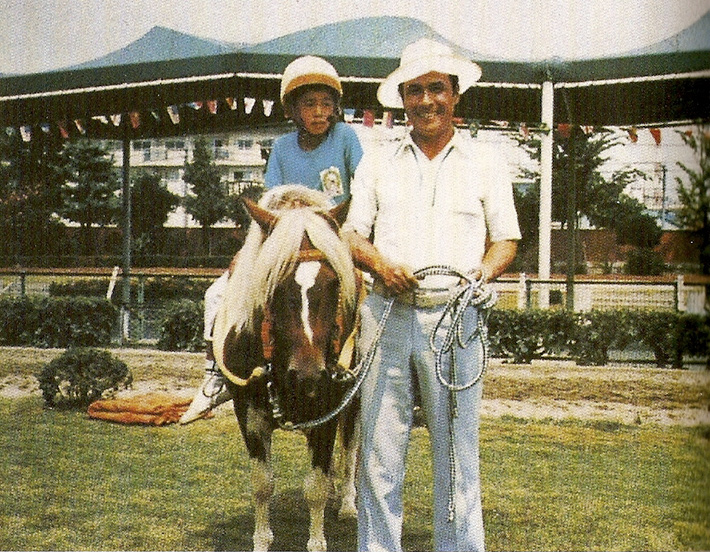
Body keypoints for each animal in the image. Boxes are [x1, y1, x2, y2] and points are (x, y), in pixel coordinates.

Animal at [211, 187, 362, 552]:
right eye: (274, 283)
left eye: (333, 283)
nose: (308, 376)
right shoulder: (248, 413)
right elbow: (262, 484)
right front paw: (262, 541)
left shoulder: (328, 412)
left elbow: (315, 487)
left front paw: (317, 540)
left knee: (350, 449)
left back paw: (347, 502)